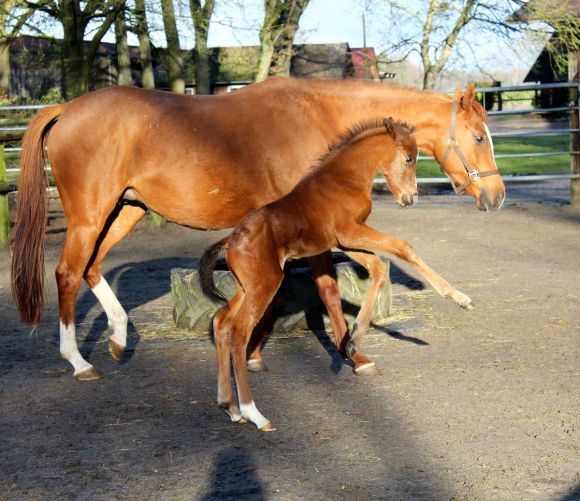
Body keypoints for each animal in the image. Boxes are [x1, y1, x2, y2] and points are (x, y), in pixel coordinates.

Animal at [12, 77, 502, 378]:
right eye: (479, 137)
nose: (496, 196)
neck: (317, 120)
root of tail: (66, 108)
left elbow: (285, 293)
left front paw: (254, 352)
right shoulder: (313, 231)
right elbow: (325, 291)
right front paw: (355, 354)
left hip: (123, 211)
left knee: (92, 268)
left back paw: (116, 339)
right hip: (90, 216)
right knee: (67, 273)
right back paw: (78, 361)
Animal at [199, 118, 472, 430]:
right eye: (409, 159)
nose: (410, 197)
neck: (344, 179)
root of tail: (232, 240)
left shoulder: (346, 241)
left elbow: (378, 268)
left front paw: (353, 342)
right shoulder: (351, 232)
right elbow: (405, 247)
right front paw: (459, 297)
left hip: (248, 286)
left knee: (221, 322)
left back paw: (230, 407)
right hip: (265, 285)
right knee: (238, 332)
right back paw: (254, 413)